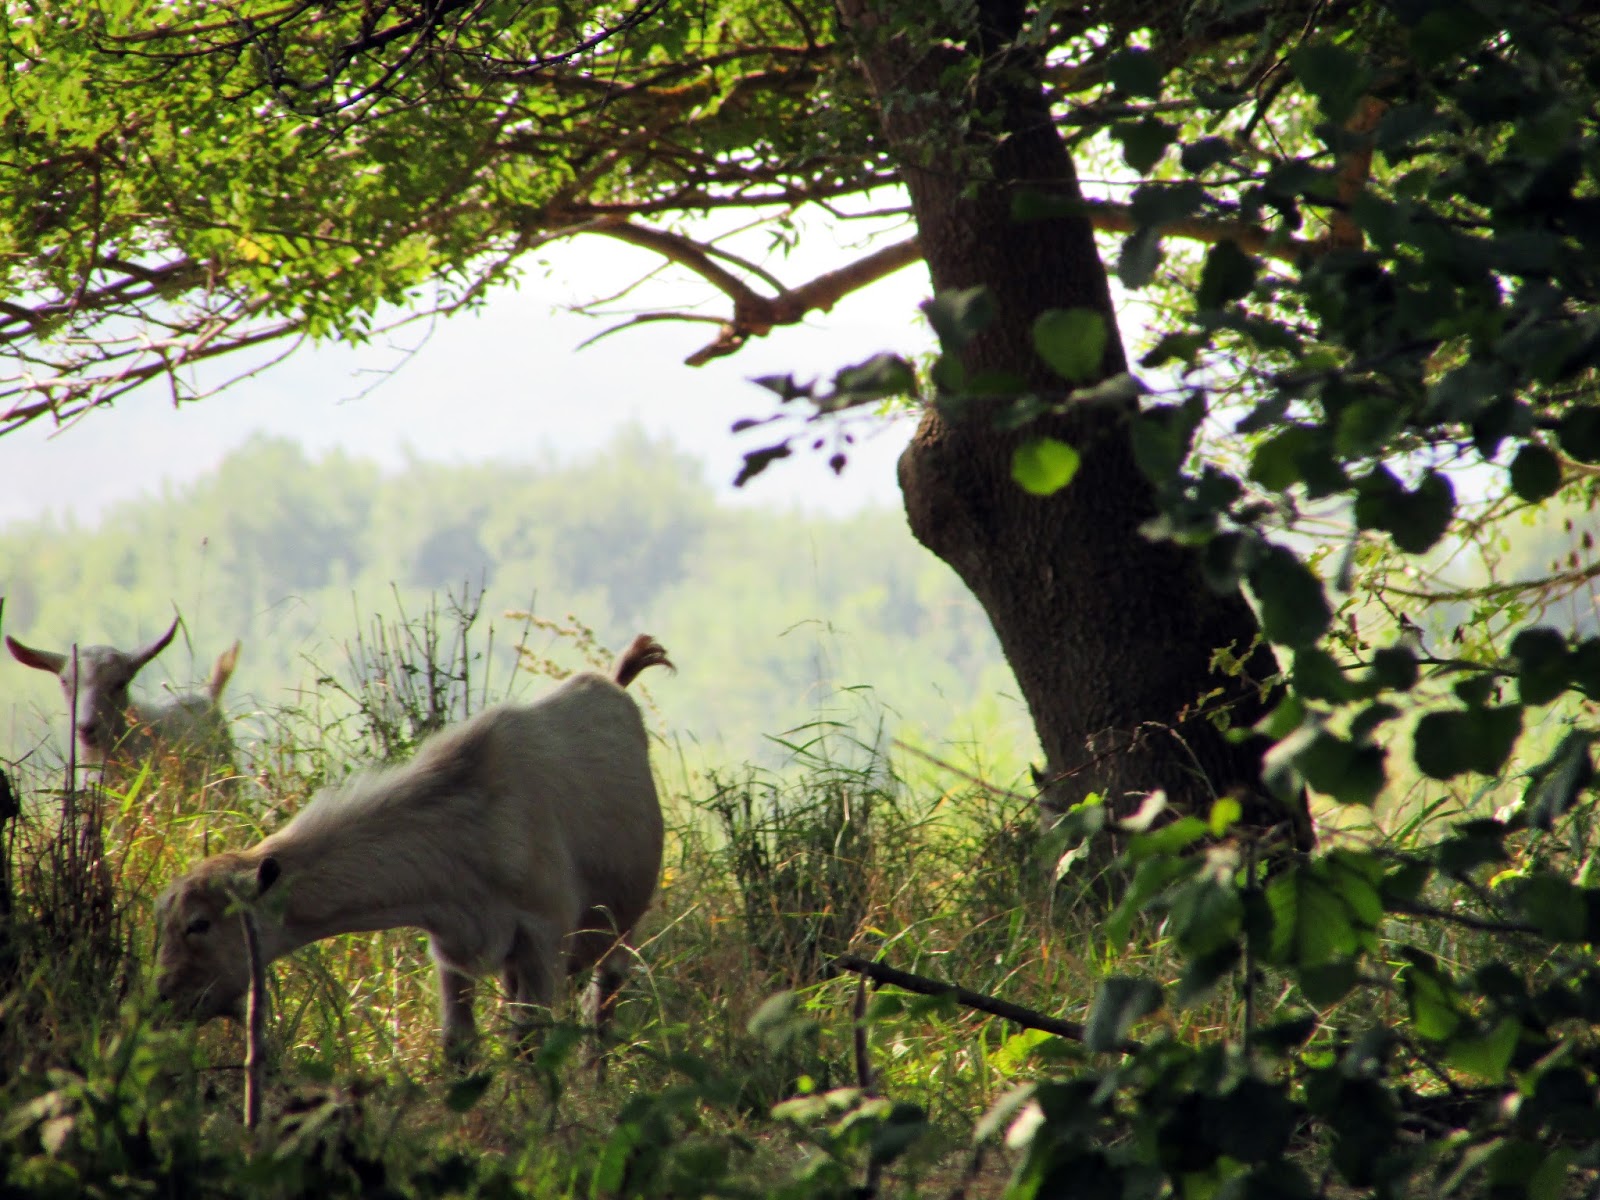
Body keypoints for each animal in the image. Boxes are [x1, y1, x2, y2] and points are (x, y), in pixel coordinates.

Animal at [152, 633, 672, 1068]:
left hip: (622, 929)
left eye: (199, 923)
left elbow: (530, 1045)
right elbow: (460, 1046)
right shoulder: (453, 948)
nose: (163, 999)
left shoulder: (545, 938)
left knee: (604, 1003)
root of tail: (613, 683)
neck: (471, 824)